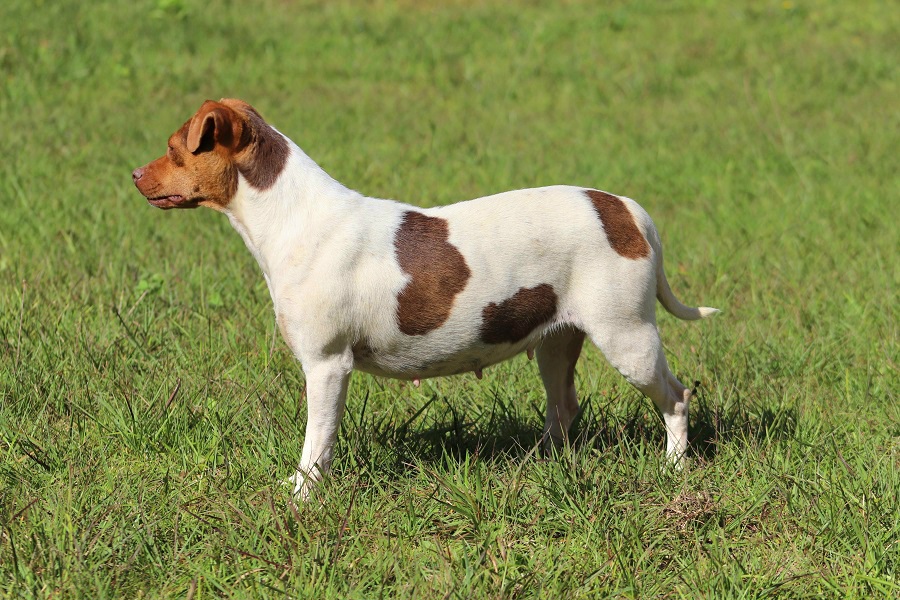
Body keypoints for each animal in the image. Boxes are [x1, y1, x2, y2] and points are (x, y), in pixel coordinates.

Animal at [132, 101, 716, 500]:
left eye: (175, 148)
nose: (133, 174)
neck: (290, 215)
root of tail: (627, 210)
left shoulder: (326, 365)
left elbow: (316, 443)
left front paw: (301, 499)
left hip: (627, 336)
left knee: (675, 397)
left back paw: (674, 469)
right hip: (557, 340)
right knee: (564, 407)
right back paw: (539, 464)